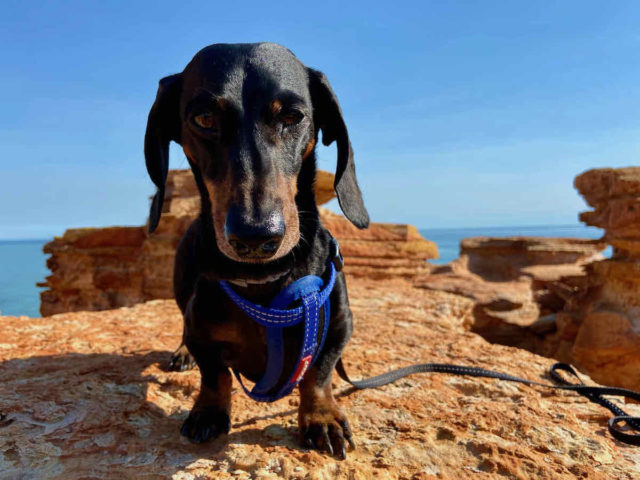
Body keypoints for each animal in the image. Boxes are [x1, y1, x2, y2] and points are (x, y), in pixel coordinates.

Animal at [142, 43, 368, 460]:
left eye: (292, 116)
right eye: (204, 118)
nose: (255, 235)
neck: (264, 281)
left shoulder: (339, 325)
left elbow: (319, 373)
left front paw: (321, 417)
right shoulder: (202, 330)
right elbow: (214, 374)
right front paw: (208, 411)